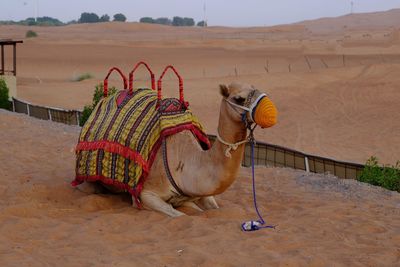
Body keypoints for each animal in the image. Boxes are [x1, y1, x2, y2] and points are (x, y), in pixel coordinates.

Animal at [78, 82, 278, 217]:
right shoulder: (146, 194)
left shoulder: (200, 194)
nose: (271, 112)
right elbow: (178, 214)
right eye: (239, 98)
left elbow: (212, 208)